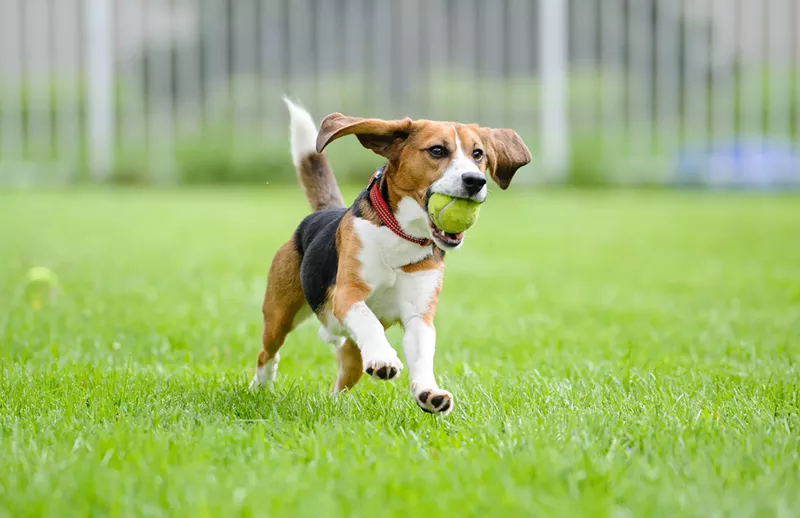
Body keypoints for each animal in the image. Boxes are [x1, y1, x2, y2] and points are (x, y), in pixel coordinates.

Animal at [250, 99, 532, 416]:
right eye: (437, 150)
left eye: (478, 154)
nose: (475, 181)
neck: (403, 236)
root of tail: (324, 212)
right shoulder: (347, 295)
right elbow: (369, 321)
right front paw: (385, 359)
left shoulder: (419, 316)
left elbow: (422, 355)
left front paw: (429, 392)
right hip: (279, 315)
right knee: (268, 352)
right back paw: (260, 387)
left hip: (352, 352)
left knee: (344, 369)